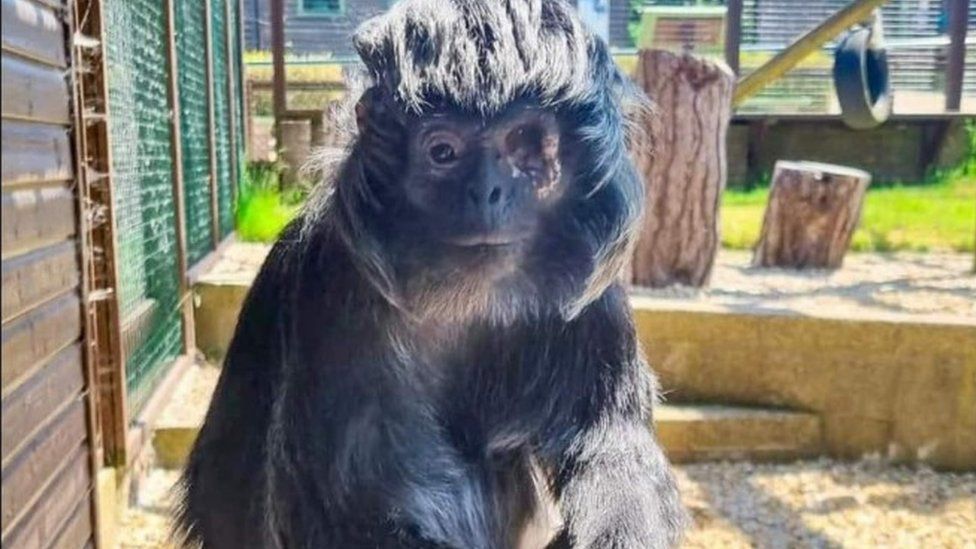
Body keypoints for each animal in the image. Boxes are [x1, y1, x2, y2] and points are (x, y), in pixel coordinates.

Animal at [175, 1, 687, 547]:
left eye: (525, 146)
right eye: (443, 153)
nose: (487, 191)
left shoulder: (593, 295)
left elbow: (610, 441)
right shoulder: (335, 282)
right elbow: (346, 503)